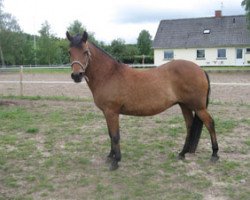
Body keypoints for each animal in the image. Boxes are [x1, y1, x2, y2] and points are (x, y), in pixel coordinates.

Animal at [66, 31, 219, 170]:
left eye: (85, 52)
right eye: (69, 52)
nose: (77, 75)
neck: (109, 74)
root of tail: (200, 70)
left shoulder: (112, 112)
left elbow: (115, 136)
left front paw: (116, 161)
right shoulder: (107, 113)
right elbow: (110, 134)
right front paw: (110, 156)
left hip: (198, 107)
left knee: (210, 123)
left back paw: (214, 154)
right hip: (184, 105)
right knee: (189, 126)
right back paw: (182, 153)